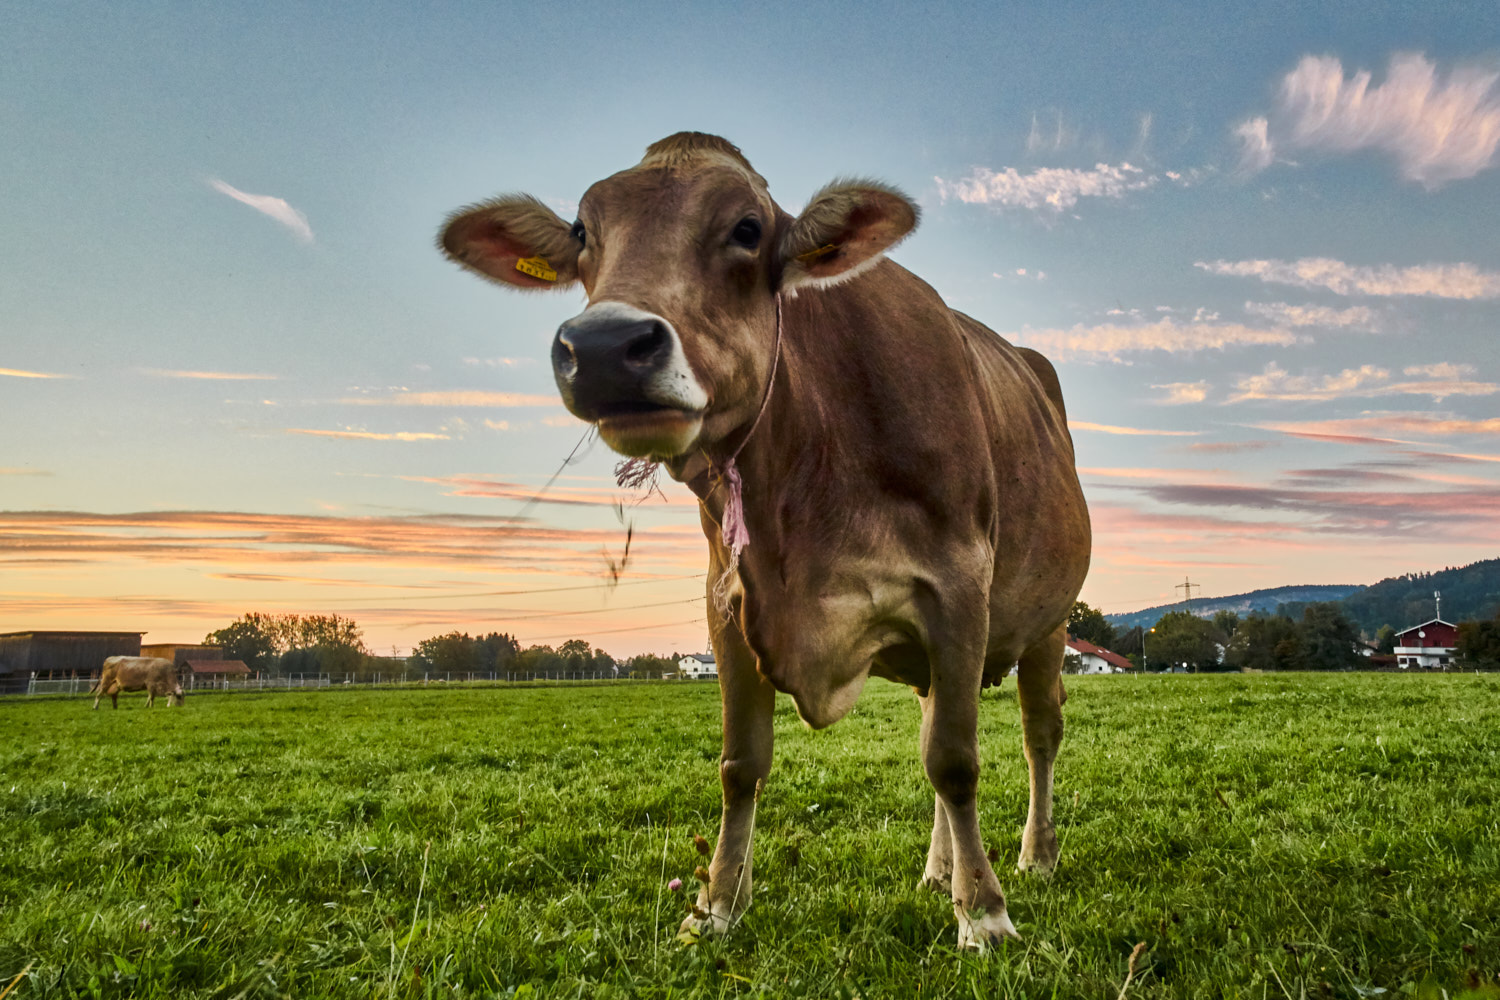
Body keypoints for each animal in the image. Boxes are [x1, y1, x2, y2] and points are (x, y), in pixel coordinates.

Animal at [438, 134, 1092, 953]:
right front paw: (716, 905)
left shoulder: (958, 588)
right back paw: (938, 870)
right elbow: (741, 765)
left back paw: (1036, 856)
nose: (605, 345)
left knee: (1040, 733)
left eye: (748, 228)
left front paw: (985, 913)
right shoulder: (729, 602)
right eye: (584, 233)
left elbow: (955, 761)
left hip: (1049, 621)